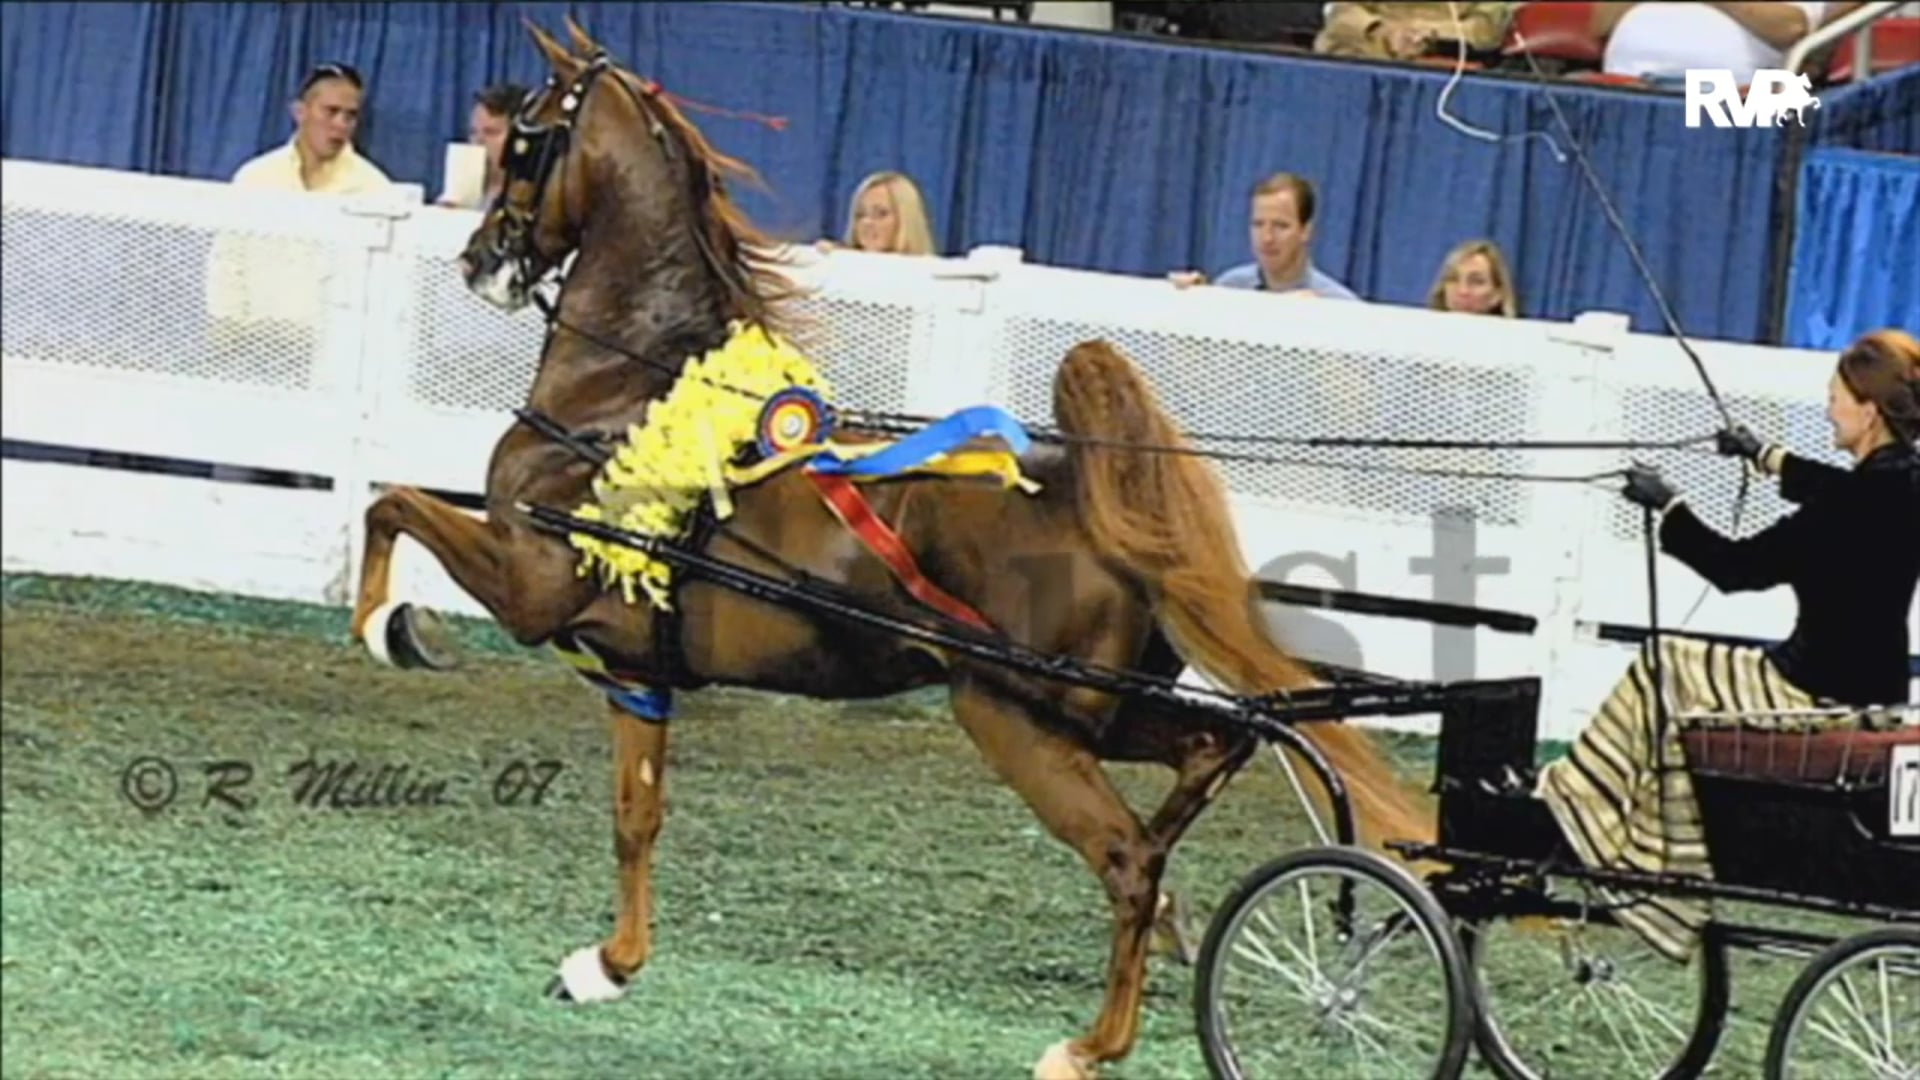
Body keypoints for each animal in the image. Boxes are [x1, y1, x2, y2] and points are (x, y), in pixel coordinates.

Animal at [349, 18, 1434, 1078]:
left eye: (525, 139)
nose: (480, 257)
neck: (629, 395)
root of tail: (1083, 495)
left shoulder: (529, 584)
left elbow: (393, 507)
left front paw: (391, 627)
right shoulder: (631, 666)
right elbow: (636, 817)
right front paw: (607, 966)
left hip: (1014, 713)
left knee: (1126, 855)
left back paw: (1091, 1043)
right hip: (1091, 709)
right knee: (1213, 752)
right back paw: (1172, 919)